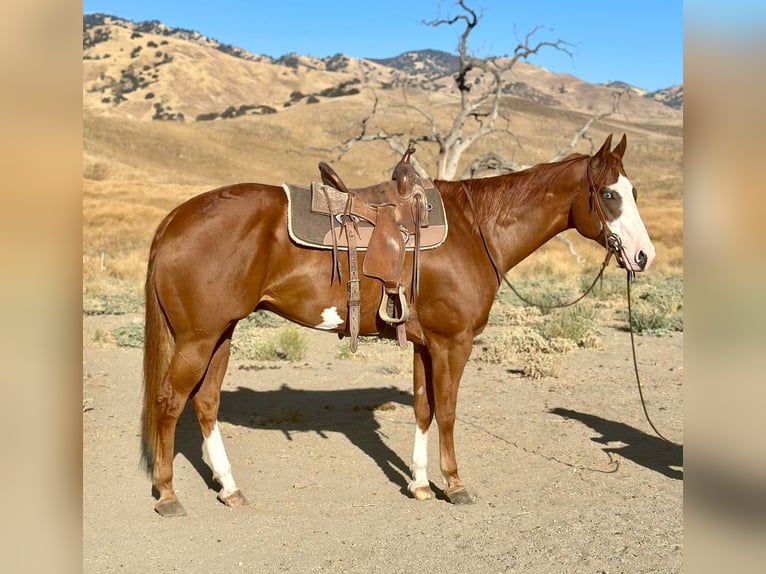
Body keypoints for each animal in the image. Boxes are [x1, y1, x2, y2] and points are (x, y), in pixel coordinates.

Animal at [141, 134, 656, 516]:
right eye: (608, 194)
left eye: (634, 192)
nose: (642, 256)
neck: (476, 229)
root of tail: (175, 218)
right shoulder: (453, 343)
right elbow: (446, 412)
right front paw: (455, 484)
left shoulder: (426, 345)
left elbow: (424, 410)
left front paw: (420, 483)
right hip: (198, 338)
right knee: (169, 402)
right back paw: (167, 494)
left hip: (221, 334)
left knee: (206, 403)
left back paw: (229, 488)